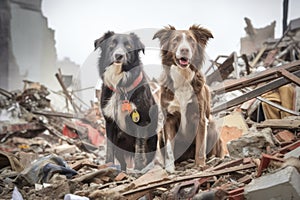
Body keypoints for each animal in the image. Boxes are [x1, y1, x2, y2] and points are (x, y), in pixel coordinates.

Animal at [94, 32, 159, 171]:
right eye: (112, 44)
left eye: (129, 46)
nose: (119, 55)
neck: (121, 87)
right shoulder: (110, 121)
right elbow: (109, 149)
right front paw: (108, 165)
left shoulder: (142, 121)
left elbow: (139, 148)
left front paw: (138, 168)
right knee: (122, 162)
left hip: (153, 139)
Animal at [154, 24, 221, 172]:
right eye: (175, 40)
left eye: (191, 41)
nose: (184, 50)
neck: (183, 78)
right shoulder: (169, 118)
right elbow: (169, 148)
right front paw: (170, 169)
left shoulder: (200, 118)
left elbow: (200, 146)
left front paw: (200, 165)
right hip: (160, 134)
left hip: (212, 126)